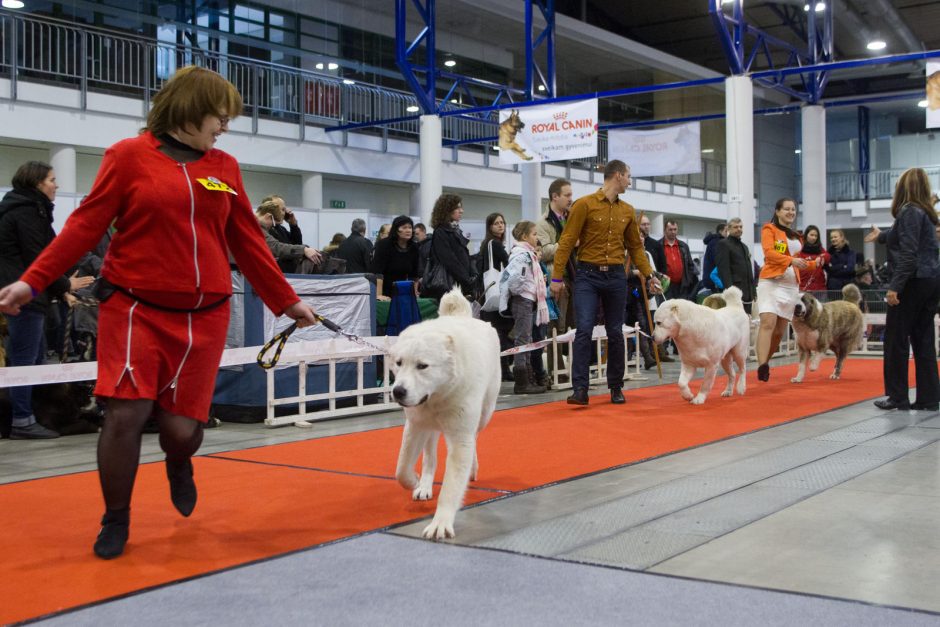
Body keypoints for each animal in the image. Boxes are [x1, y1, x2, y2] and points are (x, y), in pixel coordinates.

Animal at [388, 290, 504, 540]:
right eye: (399, 363)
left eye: (422, 366)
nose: (398, 391)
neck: (437, 395)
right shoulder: (415, 426)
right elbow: (401, 469)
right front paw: (415, 481)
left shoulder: (461, 437)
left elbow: (451, 488)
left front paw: (440, 523)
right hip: (429, 428)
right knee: (430, 456)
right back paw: (424, 484)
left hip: (484, 413)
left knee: (475, 439)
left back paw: (472, 468)